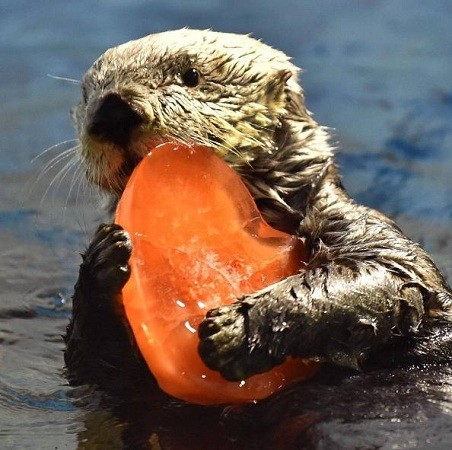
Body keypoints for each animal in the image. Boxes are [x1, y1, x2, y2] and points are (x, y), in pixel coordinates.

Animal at [64, 29, 452, 392]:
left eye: (191, 75)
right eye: (87, 95)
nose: (112, 110)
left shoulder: (352, 223)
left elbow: (388, 273)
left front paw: (235, 329)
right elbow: (95, 366)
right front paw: (105, 256)